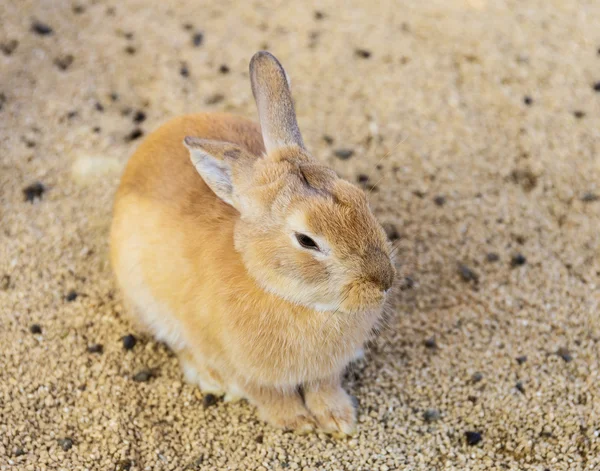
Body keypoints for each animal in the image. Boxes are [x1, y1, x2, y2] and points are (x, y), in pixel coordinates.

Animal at [110, 50, 396, 436]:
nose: (383, 282)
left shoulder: (325, 373)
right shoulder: (242, 367)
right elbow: (268, 394)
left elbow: (324, 387)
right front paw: (297, 422)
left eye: (360, 198)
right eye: (306, 240)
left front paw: (338, 419)